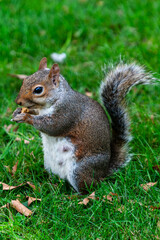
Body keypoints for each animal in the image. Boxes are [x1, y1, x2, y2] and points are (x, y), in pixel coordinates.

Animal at [11, 58, 156, 195]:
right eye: (25, 80)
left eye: (38, 90)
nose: (18, 101)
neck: (56, 99)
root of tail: (103, 173)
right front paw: (18, 112)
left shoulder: (68, 111)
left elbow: (53, 126)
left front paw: (26, 117)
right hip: (50, 165)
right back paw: (51, 185)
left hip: (79, 169)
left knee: (88, 189)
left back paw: (73, 197)